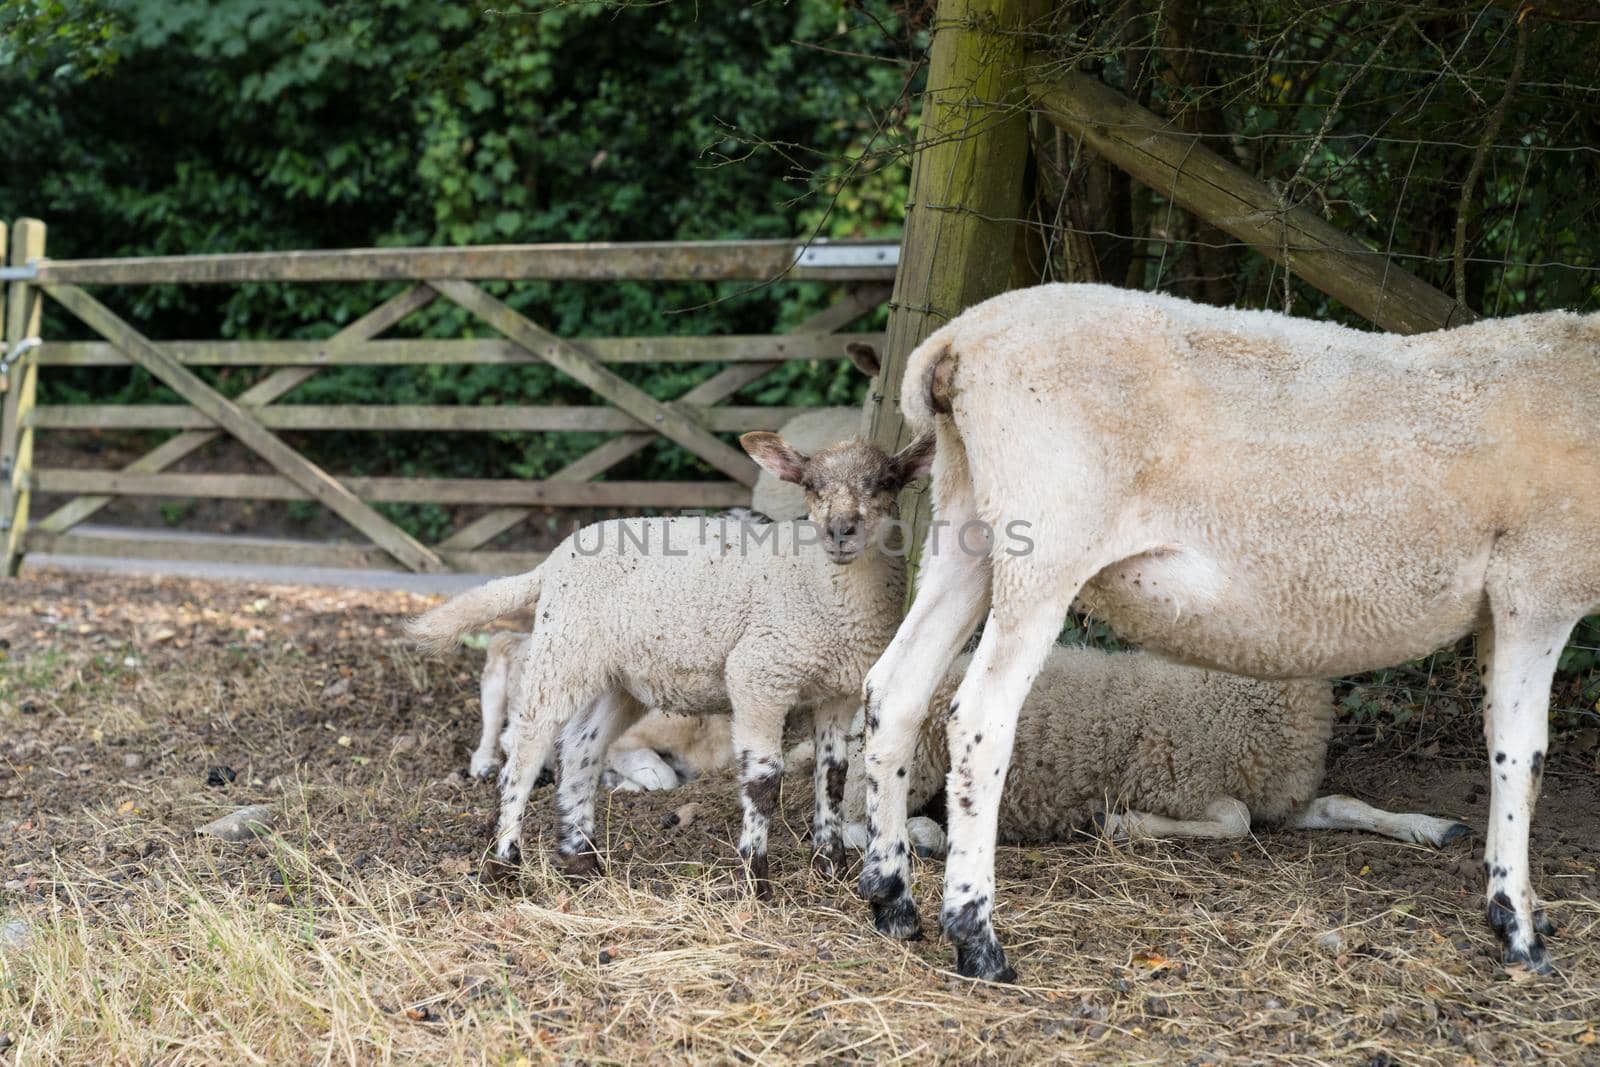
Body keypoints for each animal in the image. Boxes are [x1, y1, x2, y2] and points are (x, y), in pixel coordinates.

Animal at [412, 428, 934, 895]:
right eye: (810, 484)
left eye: (886, 481)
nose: (840, 531)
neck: (829, 590)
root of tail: (551, 562)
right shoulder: (759, 674)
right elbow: (765, 778)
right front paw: (755, 879)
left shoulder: (839, 691)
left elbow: (833, 774)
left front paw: (830, 866)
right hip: (565, 649)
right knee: (526, 745)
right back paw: (504, 862)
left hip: (618, 677)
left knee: (579, 747)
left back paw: (582, 859)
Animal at [857, 281, 1600, 979]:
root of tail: (957, 338)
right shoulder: (1538, 585)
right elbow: (1521, 756)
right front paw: (1518, 928)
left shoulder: (1501, 605)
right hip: (1047, 534)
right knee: (979, 717)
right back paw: (976, 936)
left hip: (970, 527)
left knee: (896, 688)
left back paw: (892, 900)